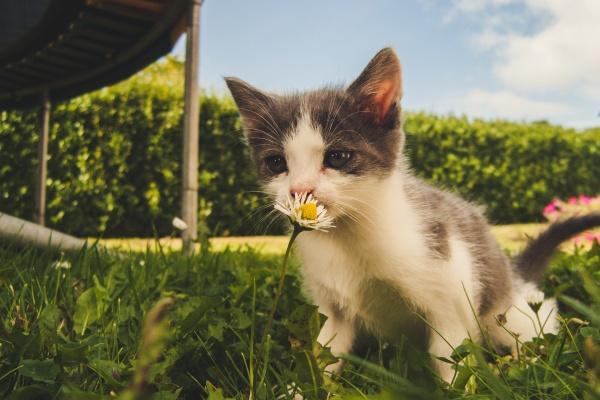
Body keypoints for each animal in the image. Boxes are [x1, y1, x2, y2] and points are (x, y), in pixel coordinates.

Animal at [224, 48, 600, 380]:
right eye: (276, 163)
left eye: (338, 157)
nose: (300, 190)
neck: (349, 235)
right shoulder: (331, 310)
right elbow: (323, 355)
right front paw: (300, 389)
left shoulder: (450, 291)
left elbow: (451, 359)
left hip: (505, 311)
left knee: (533, 320)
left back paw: (525, 361)